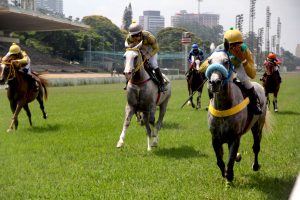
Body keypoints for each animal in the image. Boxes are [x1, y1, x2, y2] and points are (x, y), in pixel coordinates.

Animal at [205, 50, 268, 186]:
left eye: (226, 62)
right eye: (209, 61)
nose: (214, 82)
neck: (223, 108)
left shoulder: (234, 138)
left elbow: (231, 158)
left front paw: (229, 176)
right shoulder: (215, 138)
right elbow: (220, 160)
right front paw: (225, 174)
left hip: (258, 126)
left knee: (256, 147)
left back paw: (255, 165)